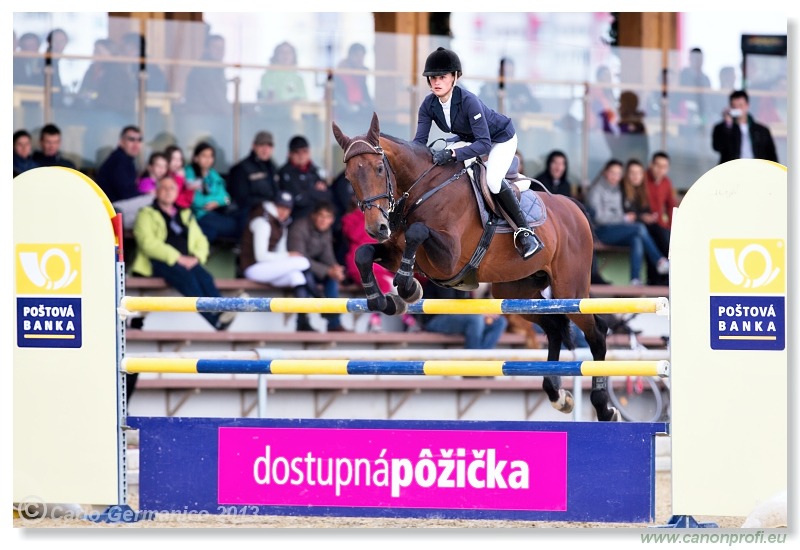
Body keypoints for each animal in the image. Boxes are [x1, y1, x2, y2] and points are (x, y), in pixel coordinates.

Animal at [332, 112, 620, 422]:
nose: (377, 228)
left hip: (570, 289)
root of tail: (574, 208)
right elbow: (363, 254)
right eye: (348, 177)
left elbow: (417, 232)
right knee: (554, 327)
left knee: (596, 331)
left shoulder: (448, 259)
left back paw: (604, 407)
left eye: (377, 169)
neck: (422, 189)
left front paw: (409, 288)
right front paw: (385, 300)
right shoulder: (396, 252)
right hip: (516, 291)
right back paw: (557, 395)